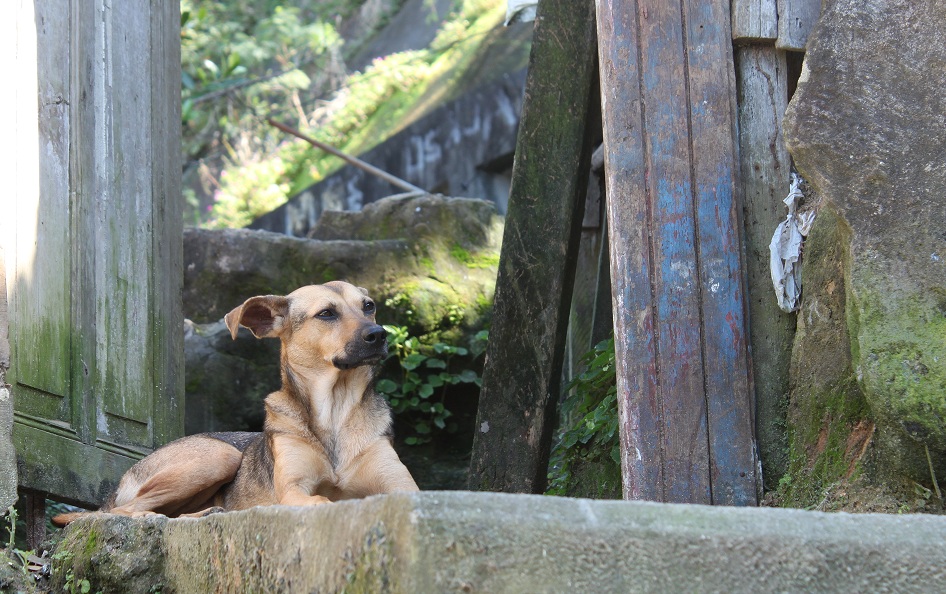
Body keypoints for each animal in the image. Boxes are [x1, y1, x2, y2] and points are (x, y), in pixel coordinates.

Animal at [52, 280, 416, 524]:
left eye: (368, 305)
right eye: (326, 313)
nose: (379, 335)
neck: (336, 409)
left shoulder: (403, 486)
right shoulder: (294, 489)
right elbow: (318, 500)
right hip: (219, 455)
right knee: (122, 510)